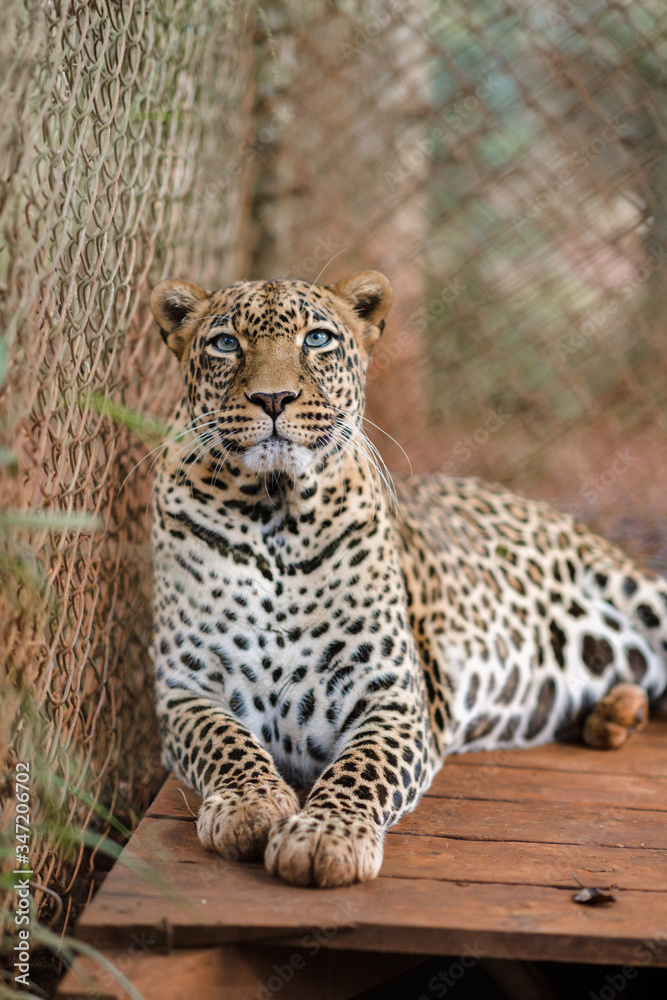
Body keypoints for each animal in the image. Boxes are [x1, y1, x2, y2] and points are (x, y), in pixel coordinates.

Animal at [149, 269, 667, 888]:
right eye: (226, 344)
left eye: (317, 339)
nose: (273, 399)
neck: (275, 511)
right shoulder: (184, 688)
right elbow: (224, 742)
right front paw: (250, 806)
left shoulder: (392, 696)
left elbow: (361, 766)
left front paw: (325, 836)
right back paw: (616, 715)